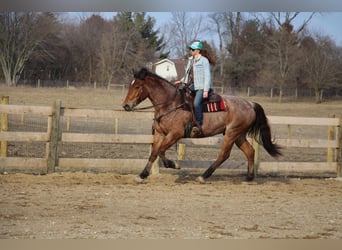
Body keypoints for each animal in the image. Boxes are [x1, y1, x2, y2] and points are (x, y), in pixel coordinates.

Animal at [122, 67, 280, 183]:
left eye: (137, 86)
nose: (126, 105)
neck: (170, 104)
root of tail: (250, 104)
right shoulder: (160, 134)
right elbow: (154, 154)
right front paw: (142, 175)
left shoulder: (175, 134)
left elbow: (161, 151)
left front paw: (174, 165)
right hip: (239, 135)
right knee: (250, 151)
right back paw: (248, 177)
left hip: (231, 133)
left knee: (224, 154)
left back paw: (203, 176)